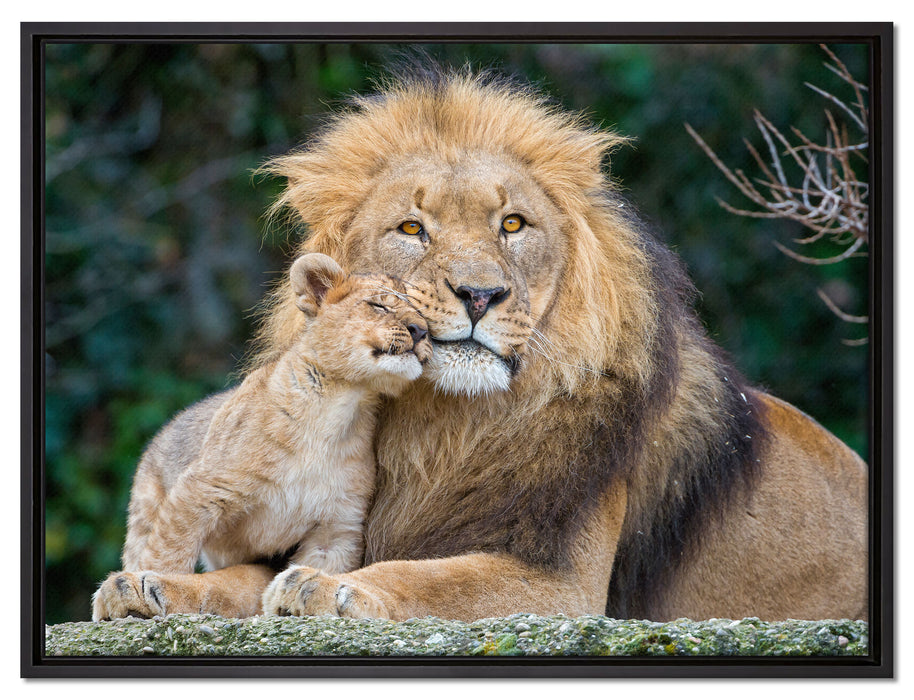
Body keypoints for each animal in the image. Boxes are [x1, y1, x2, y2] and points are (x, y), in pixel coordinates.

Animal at [91, 253, 431, 621]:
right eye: (378, 305)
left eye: (424, 316)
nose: (421, 331)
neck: (340, 408)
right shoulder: (201, 489)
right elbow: (168, 552)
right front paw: (149, 586)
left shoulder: (336, 526)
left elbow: (315, 570)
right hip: (146, 506)